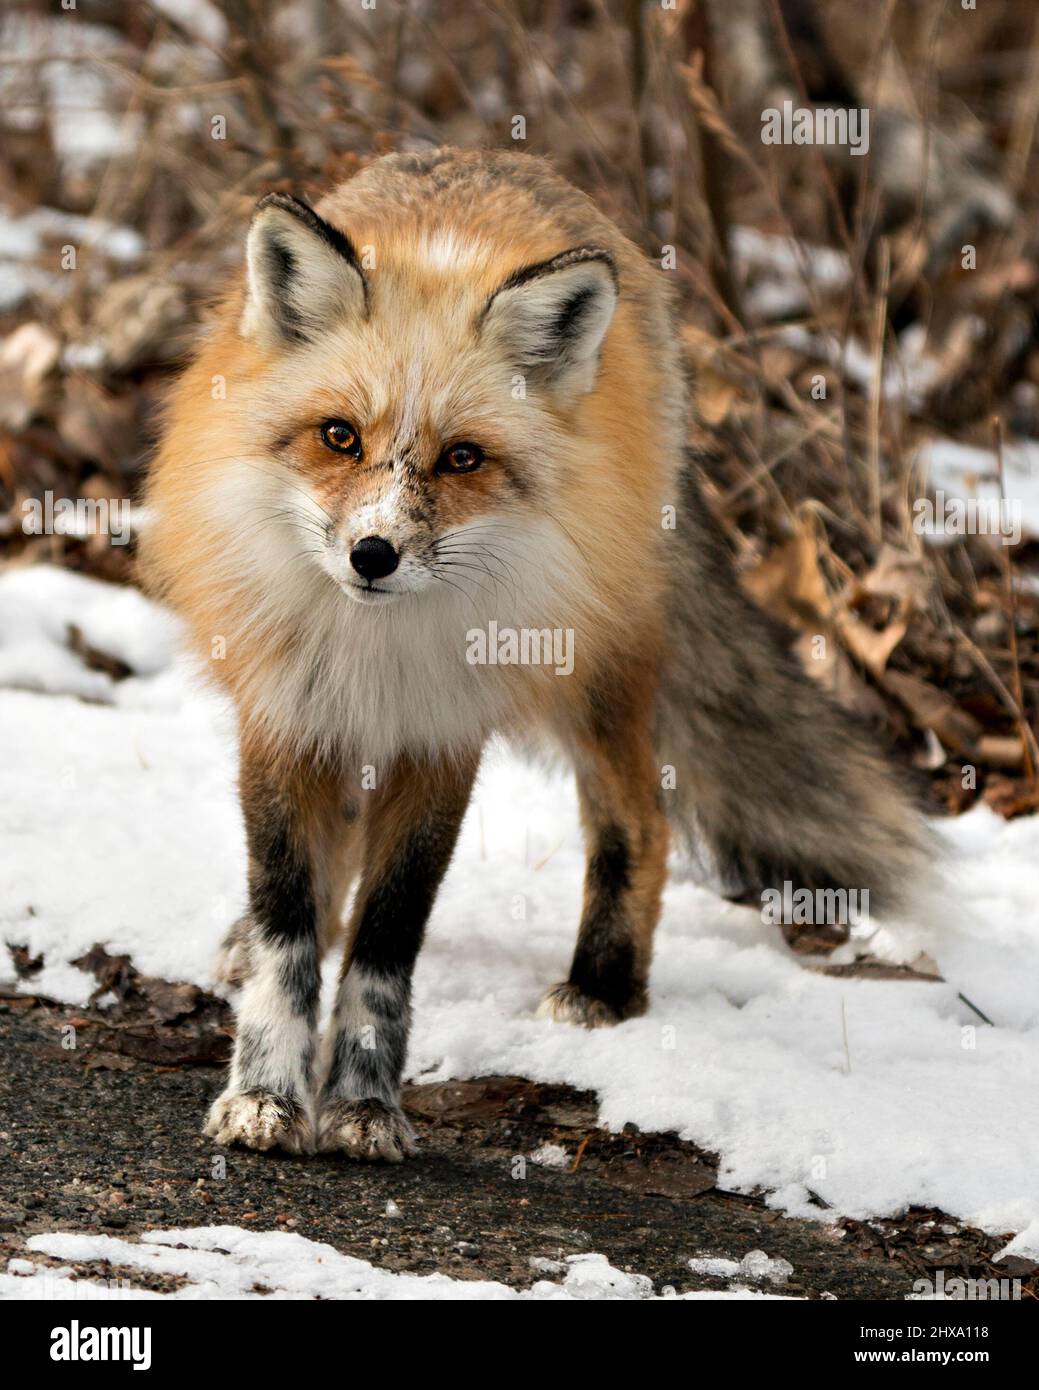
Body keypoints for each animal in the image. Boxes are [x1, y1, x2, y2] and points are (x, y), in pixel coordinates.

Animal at [143, 146, 929, 1162]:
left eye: (462, 459)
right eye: (338, 436)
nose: (372, 555)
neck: (378, 643)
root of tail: (490, 155)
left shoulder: (442, 736)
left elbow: (387, 940)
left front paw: (363, 1103)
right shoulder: (285, 716)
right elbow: (289, 923)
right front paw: (266, 1092)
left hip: (594, 675)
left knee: (641, 823)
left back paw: (603, 984)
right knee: (330, 861)